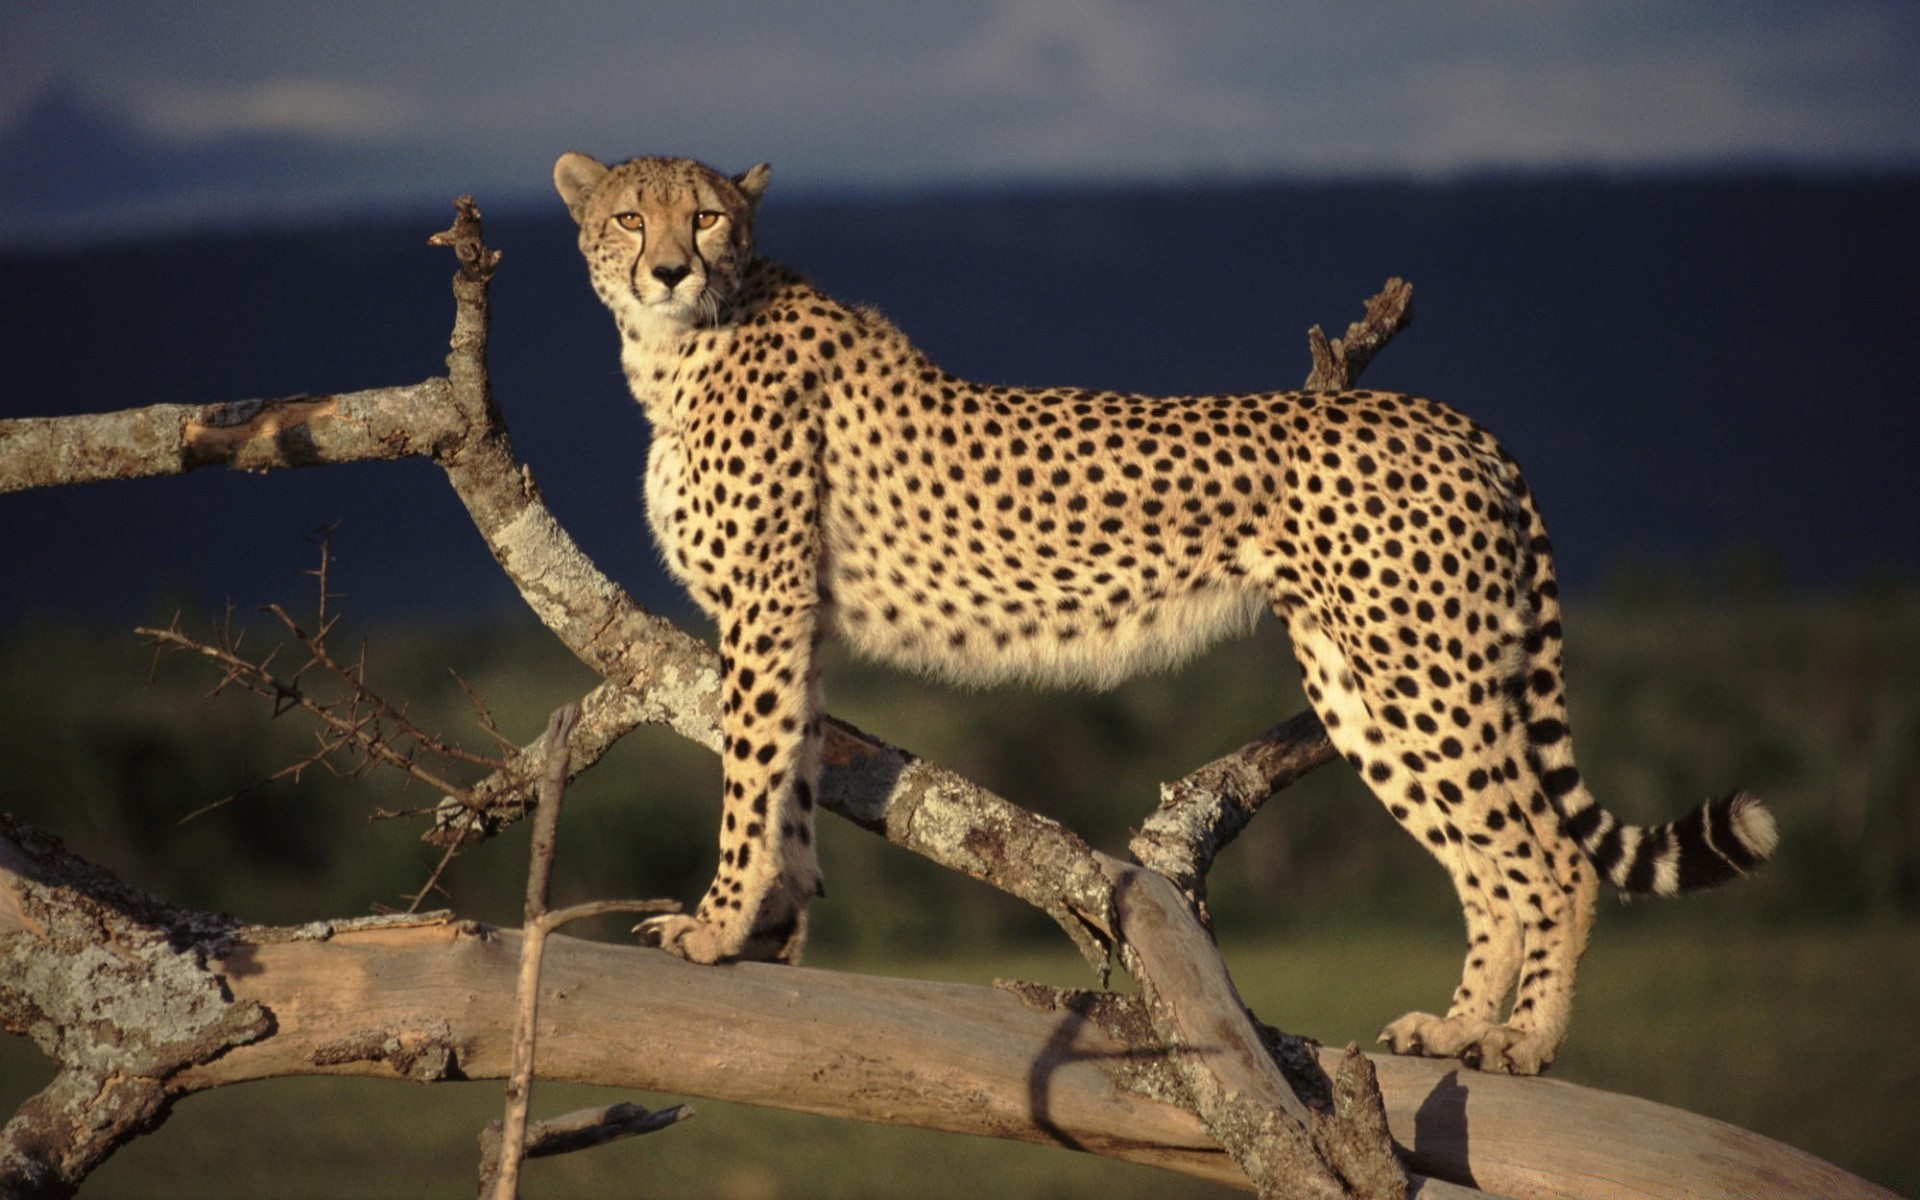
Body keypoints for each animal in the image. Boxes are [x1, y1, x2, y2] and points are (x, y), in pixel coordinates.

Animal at [560, 154, 1781, 1075]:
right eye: (629, 214)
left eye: (706, 215)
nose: (668, 268)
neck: (686, 342)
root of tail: (1448, 415)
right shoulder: (796, 619)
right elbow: (795, 775)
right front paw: (769, 929)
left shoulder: (764, 608)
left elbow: (750, 773)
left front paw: (717, 926)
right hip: (1366, 690)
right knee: (1488, 868)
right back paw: (1457, 1028)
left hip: (1422, 674)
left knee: (1550, 861)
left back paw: (1522, 1045)